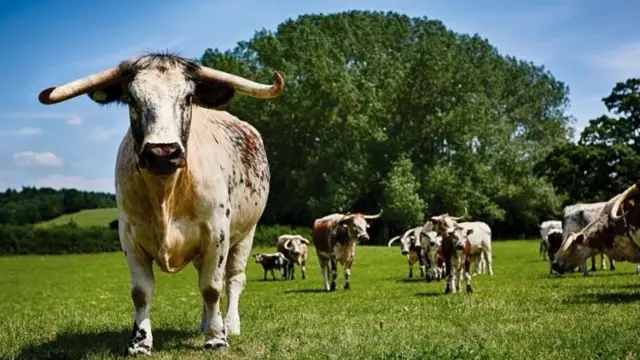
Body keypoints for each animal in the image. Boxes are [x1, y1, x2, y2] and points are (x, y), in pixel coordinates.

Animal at [37, 52, 282, 354]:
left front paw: (217, 337)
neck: (166, 193)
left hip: (246, 233)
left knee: (234, 279)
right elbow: (142, 292)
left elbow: (212, 287)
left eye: (189, 97)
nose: (163, 153)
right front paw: (140, 341)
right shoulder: (129, 235)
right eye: (131, 99)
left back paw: (230, 325)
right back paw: (204, 323)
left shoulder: (216, 233)